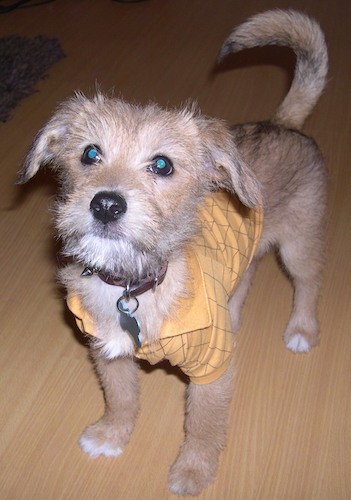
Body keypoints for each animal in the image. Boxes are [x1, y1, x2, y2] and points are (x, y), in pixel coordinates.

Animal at [18, 10, 328, 496]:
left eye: (162, 165)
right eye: (90, 153)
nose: (106, 204)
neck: (132, 285)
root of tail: (284, 123)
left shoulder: (210, 373)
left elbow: (203, 426)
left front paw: (193, 471)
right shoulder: (109, 354)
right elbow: (121, 400)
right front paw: (112, 435)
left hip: (298, 245)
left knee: (309, 283)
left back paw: (301, 329)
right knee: (246, 280)